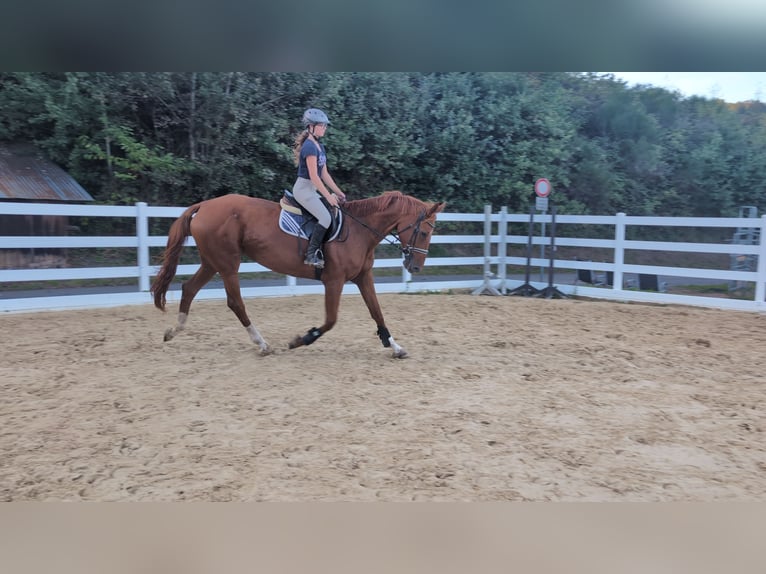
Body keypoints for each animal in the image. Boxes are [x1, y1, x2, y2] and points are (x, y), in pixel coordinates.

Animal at [151, 191, 445, 358]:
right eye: (424, 232)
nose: (415, 268)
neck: (359, 230)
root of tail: (204, 206)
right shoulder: (334, 281)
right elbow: (330, 320)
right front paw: (301, 339)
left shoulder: (363, 277)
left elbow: (377, 312)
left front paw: (394, 346)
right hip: (227, 264)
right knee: (235, 302)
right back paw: (262, 344)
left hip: (212, 262)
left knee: (189, 288)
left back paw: (173, 331)